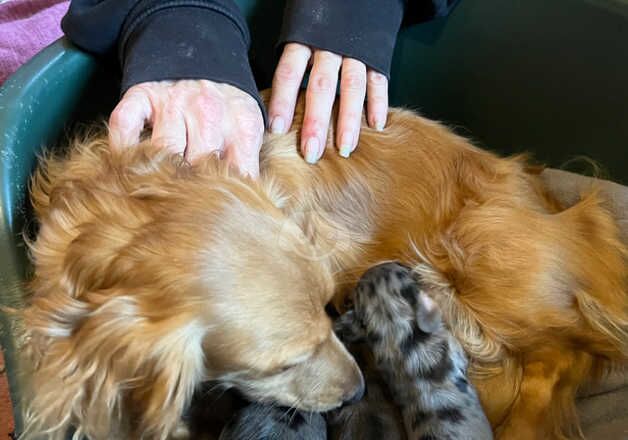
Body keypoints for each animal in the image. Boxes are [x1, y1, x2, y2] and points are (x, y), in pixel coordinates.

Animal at [20, 91, 628, 438]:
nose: (357, 391)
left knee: (556, 360)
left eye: (324, 308)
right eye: (281, 364)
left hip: (479, 262)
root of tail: (567, 216)